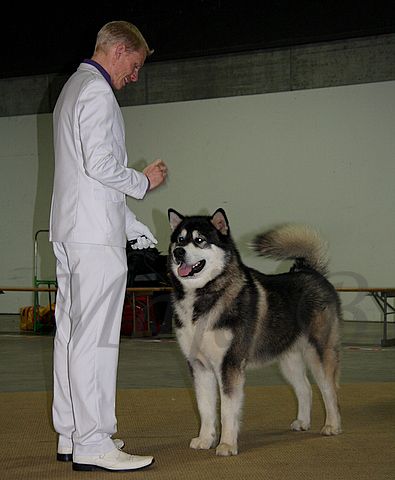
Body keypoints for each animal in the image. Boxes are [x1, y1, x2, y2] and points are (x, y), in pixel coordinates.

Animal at [169, 208, 342, 456]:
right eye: (179, 240)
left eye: (199, 240)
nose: (178, 253)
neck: (203, 297)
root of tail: (310, 271)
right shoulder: (199, 366)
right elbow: (205, 409)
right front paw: (205, 439)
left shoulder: (229, 365)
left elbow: (227, 410)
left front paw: (227, 444)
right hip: (287, 360)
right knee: (305, 389)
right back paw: (302, 421)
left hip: (319, 354)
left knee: (329, 390)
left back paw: (332, 426)